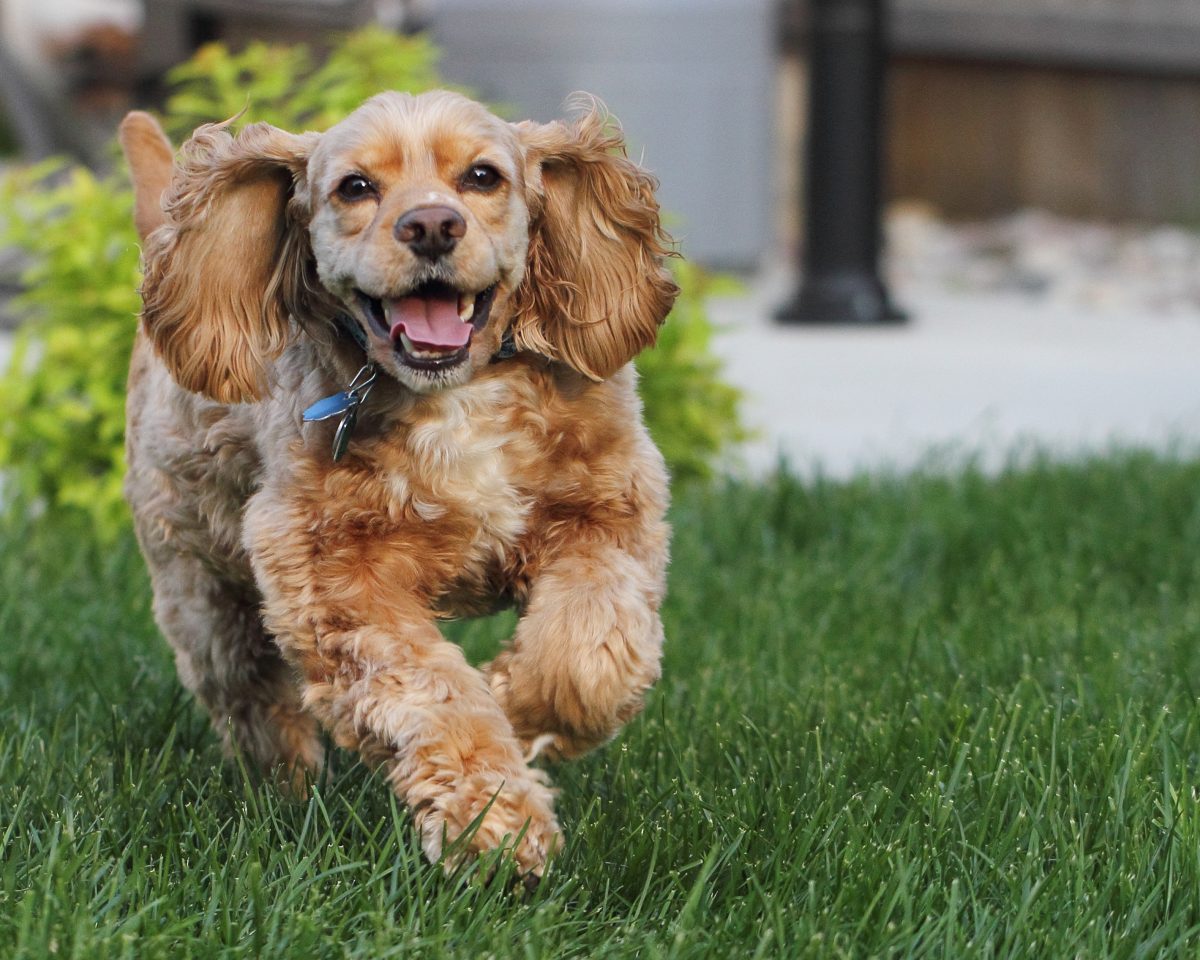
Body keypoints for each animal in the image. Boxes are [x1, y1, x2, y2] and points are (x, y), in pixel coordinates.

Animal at [120, 90, 681, 878]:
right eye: (356, 187)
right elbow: (428, 692)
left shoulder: (607, 509)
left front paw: (520, 707)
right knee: (251, 700)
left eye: (482, 176)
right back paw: (288, 794)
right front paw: (493, 825)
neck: (455, 397)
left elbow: (590, 652)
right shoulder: (331, 575)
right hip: (200, 584)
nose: (432, 225)